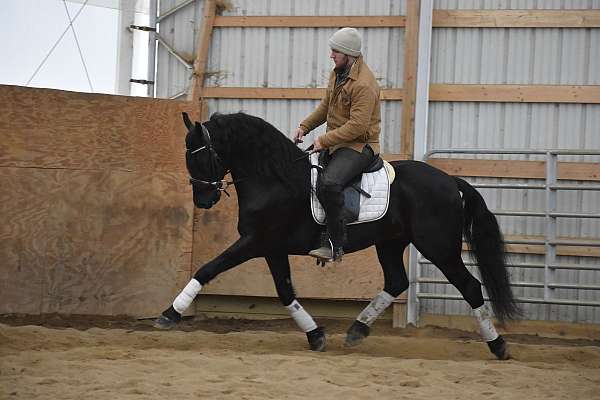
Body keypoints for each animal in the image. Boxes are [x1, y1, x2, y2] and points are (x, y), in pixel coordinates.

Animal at [156, 111, 520, 360]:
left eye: (201, 155)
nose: (203, 200)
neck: (274, 178)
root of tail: (449, 181)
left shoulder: (254, 242)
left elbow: (207, 269)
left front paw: (170, 314)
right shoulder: (272, 248)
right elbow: (285, 291)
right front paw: (315, 335)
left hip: (438, 247)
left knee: (469, 286)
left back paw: (498, 345)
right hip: (390, 243)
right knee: (396, 281)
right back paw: (357, 329)